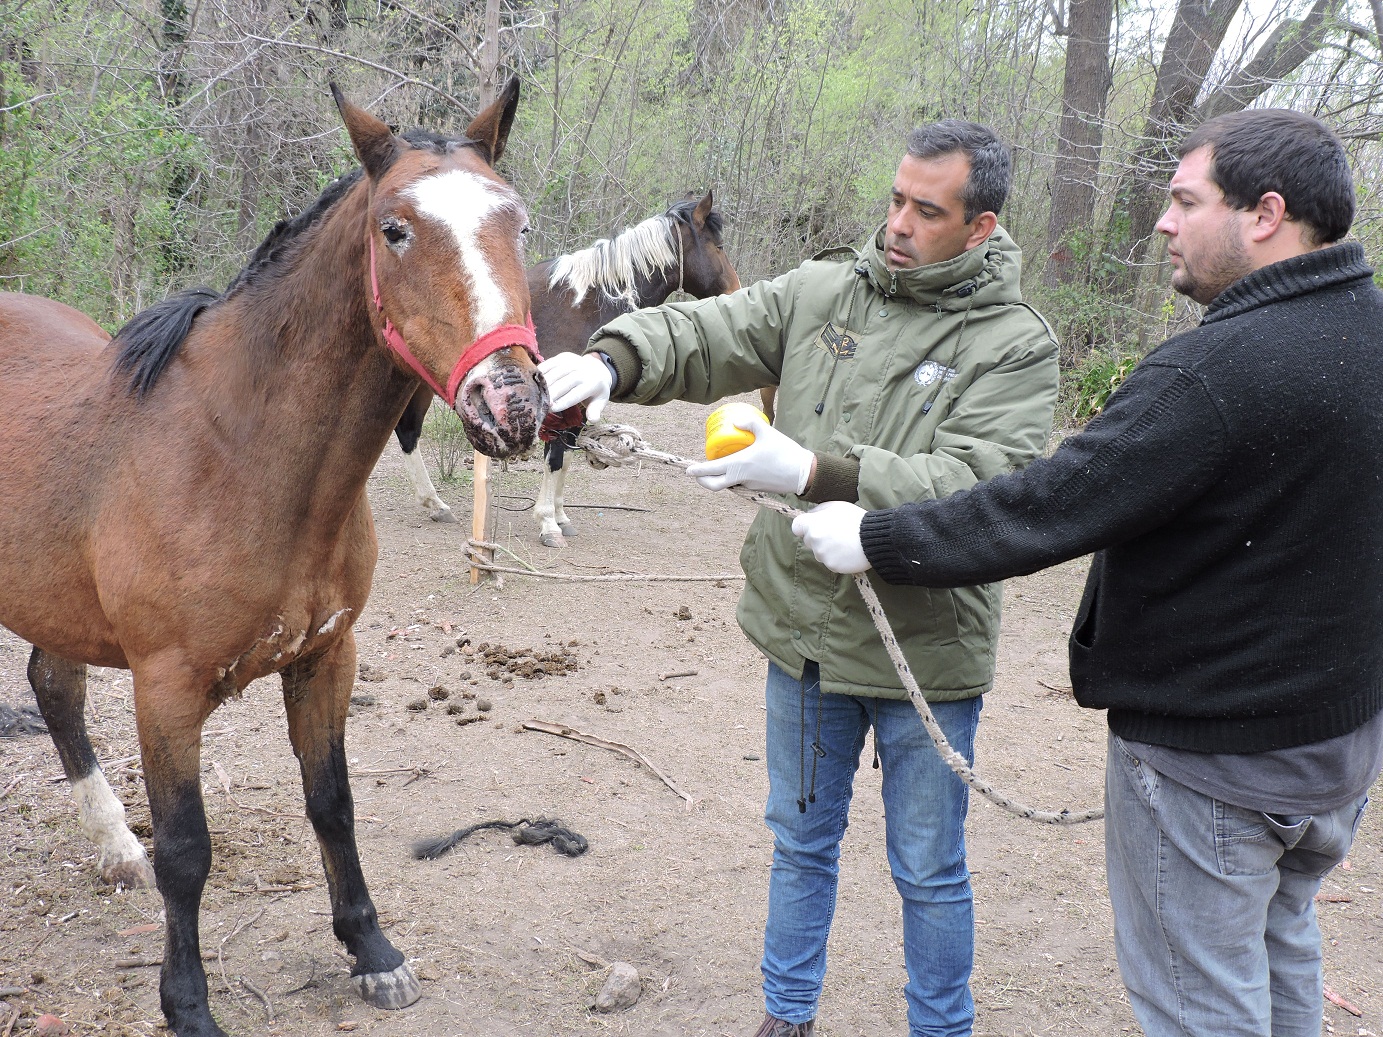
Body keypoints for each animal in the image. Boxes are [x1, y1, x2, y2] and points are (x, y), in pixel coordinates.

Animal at [0, 81, 544, 1037]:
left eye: (517, 223)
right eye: (396, 228)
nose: (508, 402)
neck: (240, 456)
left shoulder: (326, 656)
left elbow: (333, 802)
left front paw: (371, 949)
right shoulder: (167, 687)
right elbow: (187, 851)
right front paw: (189, 1005)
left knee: (54, 686)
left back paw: (112, 844)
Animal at [395, 192, 741, 547]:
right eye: (719, 246)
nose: (735, 290)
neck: (585, 306)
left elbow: (566, 457)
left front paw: (561, 516)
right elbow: (556, 458)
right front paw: (548, 523)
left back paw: (434, 505)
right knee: (407, 431)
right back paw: (434, 502)